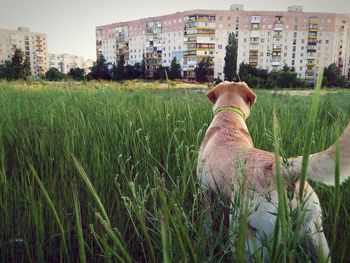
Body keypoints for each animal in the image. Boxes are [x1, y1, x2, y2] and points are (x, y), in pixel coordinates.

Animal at [197, 82, 350, 262]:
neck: (229, 119)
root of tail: (285, 170)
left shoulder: (205, 190)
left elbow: (206, 223)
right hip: (316, 236)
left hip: (247, 238)